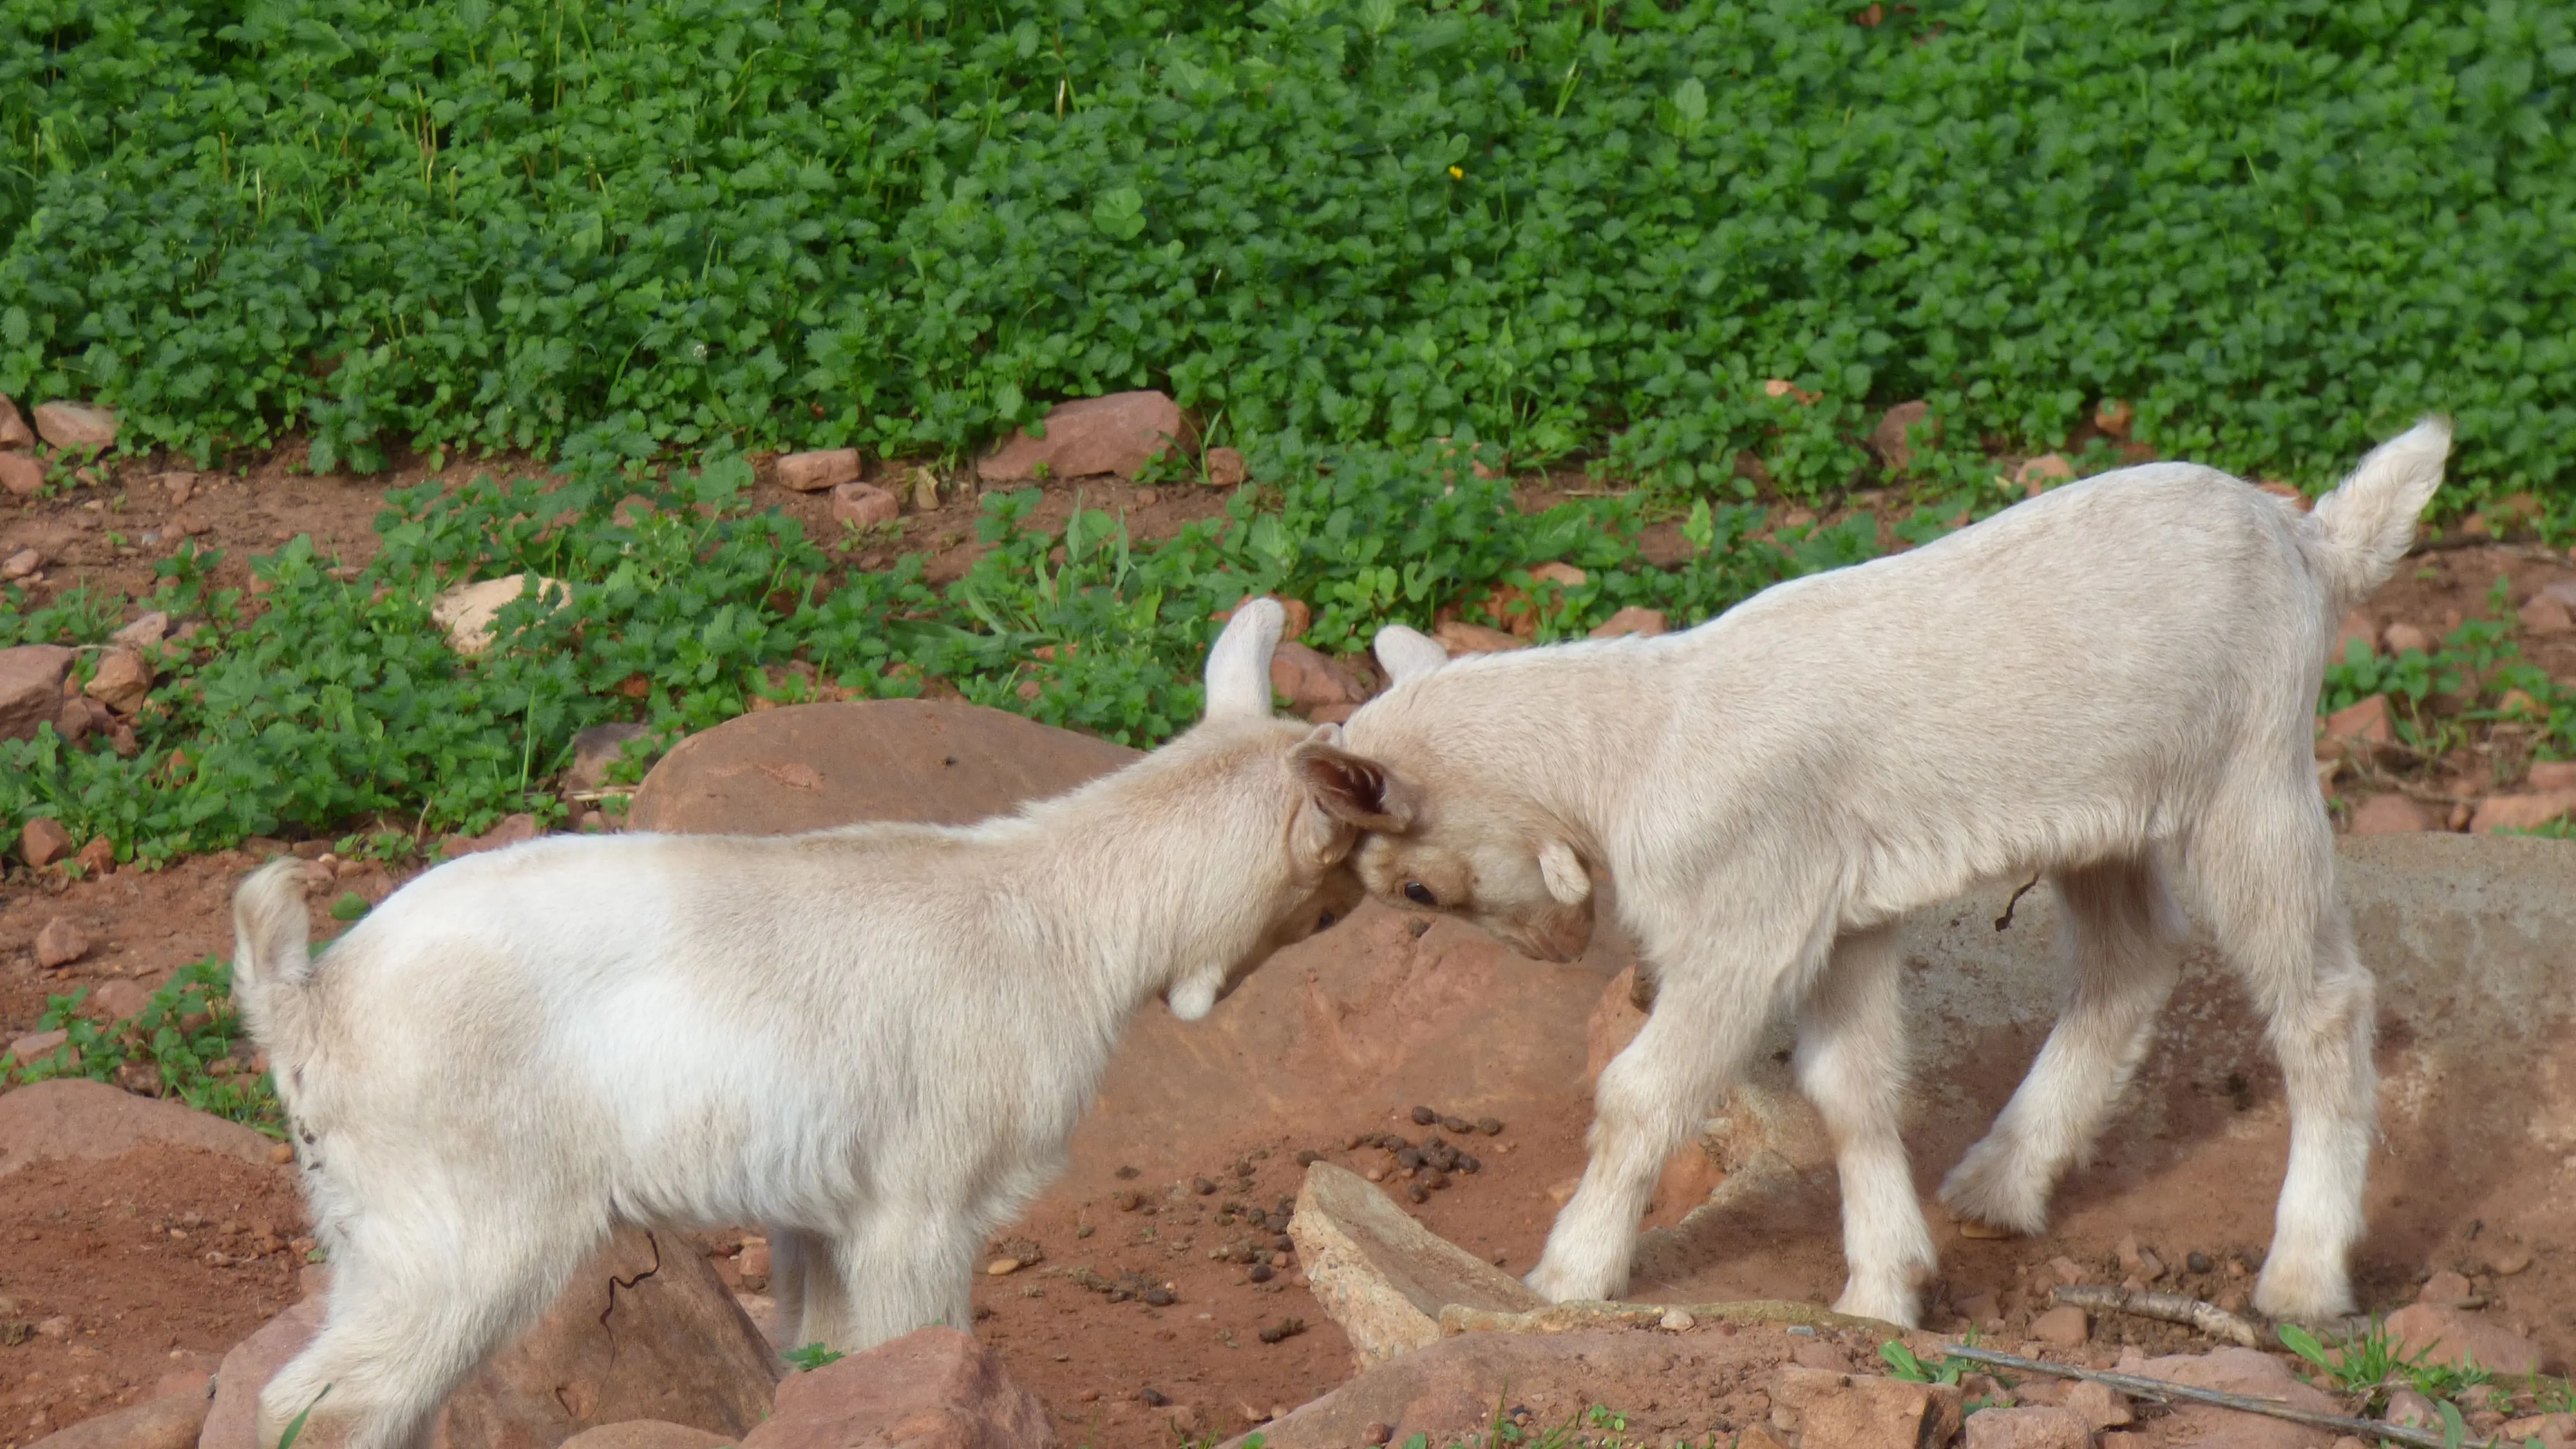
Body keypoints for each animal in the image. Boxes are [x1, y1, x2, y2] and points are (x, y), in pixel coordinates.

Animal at [229, 598, 1371, 1449]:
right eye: (1338, 862)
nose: (1354, 909)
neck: (1059, 913)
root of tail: (308, 999)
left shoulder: (824, 1212)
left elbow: (828, 1358)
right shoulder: (924, 1200)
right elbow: (920, 1337)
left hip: (373, 1231)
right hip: (471, 1227)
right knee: (323, 1406)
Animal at [1301, 420, 2451, 1327]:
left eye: (1411, 889)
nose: (1553, 948)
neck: (1634, 744)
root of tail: (2310, 538)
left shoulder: (1745, 917)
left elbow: (1641, 1089)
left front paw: (1567, 1276)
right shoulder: (1835, 916)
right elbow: (1848, 1088)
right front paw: (1883, 1292)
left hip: (2250, 774)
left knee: (2323, 1000)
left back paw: (2303, 1275)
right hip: (2106, 816)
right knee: (2130, 963)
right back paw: (2001, 1182)